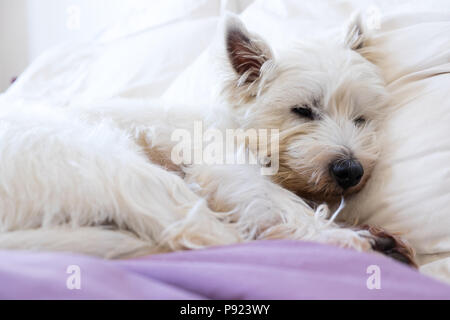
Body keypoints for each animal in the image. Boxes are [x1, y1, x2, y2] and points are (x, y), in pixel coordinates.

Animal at [0, 15, 414, 264]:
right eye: (303, 110)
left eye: (360, 118)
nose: (351, 171)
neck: (237, 125)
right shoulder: (226, 166)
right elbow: (280, 202)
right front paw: (334, 232)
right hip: (117, 165)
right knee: (211, 234)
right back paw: (359, 242)